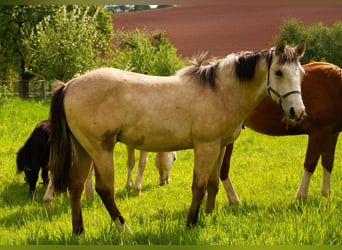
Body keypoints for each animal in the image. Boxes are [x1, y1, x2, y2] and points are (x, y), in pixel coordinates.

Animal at [47, 39, 304, 234]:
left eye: (300, 73)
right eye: (278, 72)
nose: (297, 111)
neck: (220, 91)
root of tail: (69, 85)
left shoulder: (220, 147)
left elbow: (212, 184)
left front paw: (208, 217)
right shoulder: (206, 147)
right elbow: (199, 186)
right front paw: (191, 223)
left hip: (83, 149)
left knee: (76, 185)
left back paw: (79, 231)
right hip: (101, 150)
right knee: (104, 189)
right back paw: (125, 230)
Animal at [220, 61, 342, 204]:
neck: (333, 86)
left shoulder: (332, 133)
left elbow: (328, 163)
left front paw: (325, 194)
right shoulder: (318, 133)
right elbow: (310, 163)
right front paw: (301, 196)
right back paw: (234, 200)